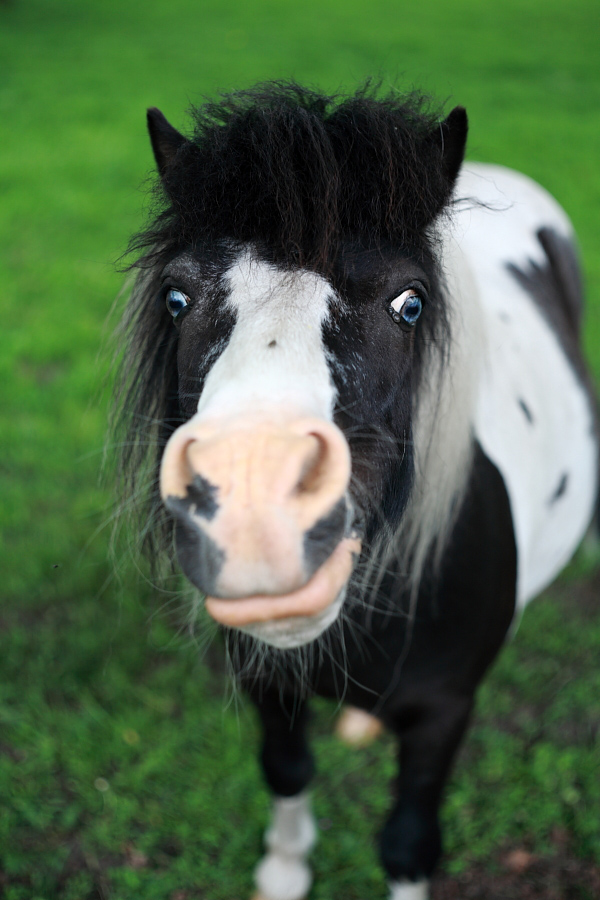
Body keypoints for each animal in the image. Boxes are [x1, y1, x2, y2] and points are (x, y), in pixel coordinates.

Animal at [115, 84, 596, 900]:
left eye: (411, 304)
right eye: (176, 298)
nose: (256, 519)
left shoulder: (444, 711)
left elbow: (406, 842)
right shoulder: (267, 680)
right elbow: (286, 768)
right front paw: (282, 870)